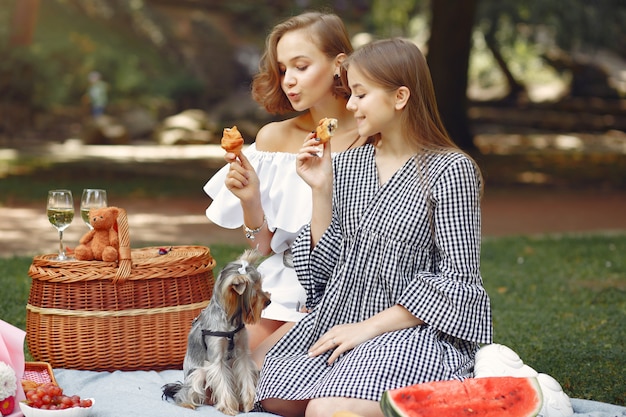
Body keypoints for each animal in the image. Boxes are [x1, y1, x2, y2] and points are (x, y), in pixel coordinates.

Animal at [161, 249, 268, 414]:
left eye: (261, 286)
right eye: (254, 291)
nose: (268, 301)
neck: (230, 321)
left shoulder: (242, 354)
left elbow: (246, 377)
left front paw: (249, 404)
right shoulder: (216, 360)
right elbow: (223, 382)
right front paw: (229, 408)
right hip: (197, 374)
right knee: (185, 393)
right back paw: (187, 404)